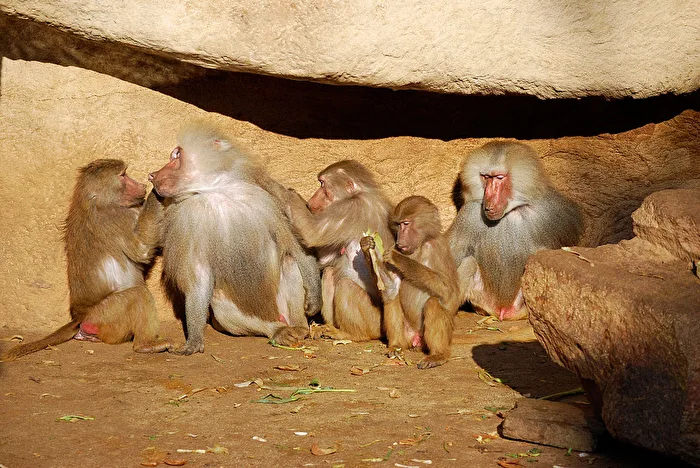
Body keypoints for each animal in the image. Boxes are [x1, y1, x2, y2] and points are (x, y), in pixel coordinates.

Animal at [1, 159, 171, 361]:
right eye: (123, 176)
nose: (141, 185)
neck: (95, 201)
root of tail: (81, 315)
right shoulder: (116, 217)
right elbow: (141, 250)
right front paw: (157, 190)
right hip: (106, 316)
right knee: (138, 295)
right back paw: (145, 345)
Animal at [149, 123, 321, 355]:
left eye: (176, 155)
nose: (152, 175)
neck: (220, 190)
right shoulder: (189, 220)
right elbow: (198, 274)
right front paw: (193, 341)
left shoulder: (269, 193)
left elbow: (297, 244)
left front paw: (314, 300)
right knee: (221, 301)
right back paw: (278, 331)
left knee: (289, 261)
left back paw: (300, 328)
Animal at [281, 160, 394, 341]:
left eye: (322, 184)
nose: (311, 201)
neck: (360, 192)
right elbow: (325, 260)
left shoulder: (350, 208)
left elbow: (312, 232)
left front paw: (290, 194)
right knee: (329, 273)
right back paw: (328, 327)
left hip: (373, 321)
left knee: (345, 285)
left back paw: (349, 334)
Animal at [361, 196, 460, 369]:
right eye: (398, 224)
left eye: (406, 223)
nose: (399, 240)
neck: (420, 246)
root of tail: (416, 340)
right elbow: (391, 286)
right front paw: (367, 246)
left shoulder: (439, 247)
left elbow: (450, 294)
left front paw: (398, 258)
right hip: (406, 333)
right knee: (392, 296)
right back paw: (395, 347)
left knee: (433, 303)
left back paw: (439, 355)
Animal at [447, 141, 583, 320]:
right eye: (486, 177)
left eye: (499, 178)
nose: (488, 202)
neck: (511, 212)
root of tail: (502, 311)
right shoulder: (468, 214)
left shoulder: (554, 210)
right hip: (483, 299)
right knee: (469, 263)